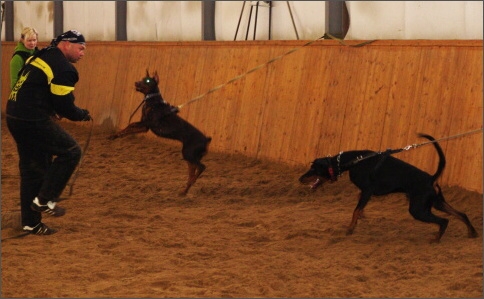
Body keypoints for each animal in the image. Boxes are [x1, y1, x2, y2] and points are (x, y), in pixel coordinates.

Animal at [298, 135, 476, 243]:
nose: (300, 179)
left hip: (418, 209)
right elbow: (359, 205)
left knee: (444, 221)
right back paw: (472, 232)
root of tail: (431, 178)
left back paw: (436, 239)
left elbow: (355, 210)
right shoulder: (365, 193)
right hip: (436, 203)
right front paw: (361, 218)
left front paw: (350, 229)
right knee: (461, 214)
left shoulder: (368, 190)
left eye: (313, 169)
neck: (353, 161)